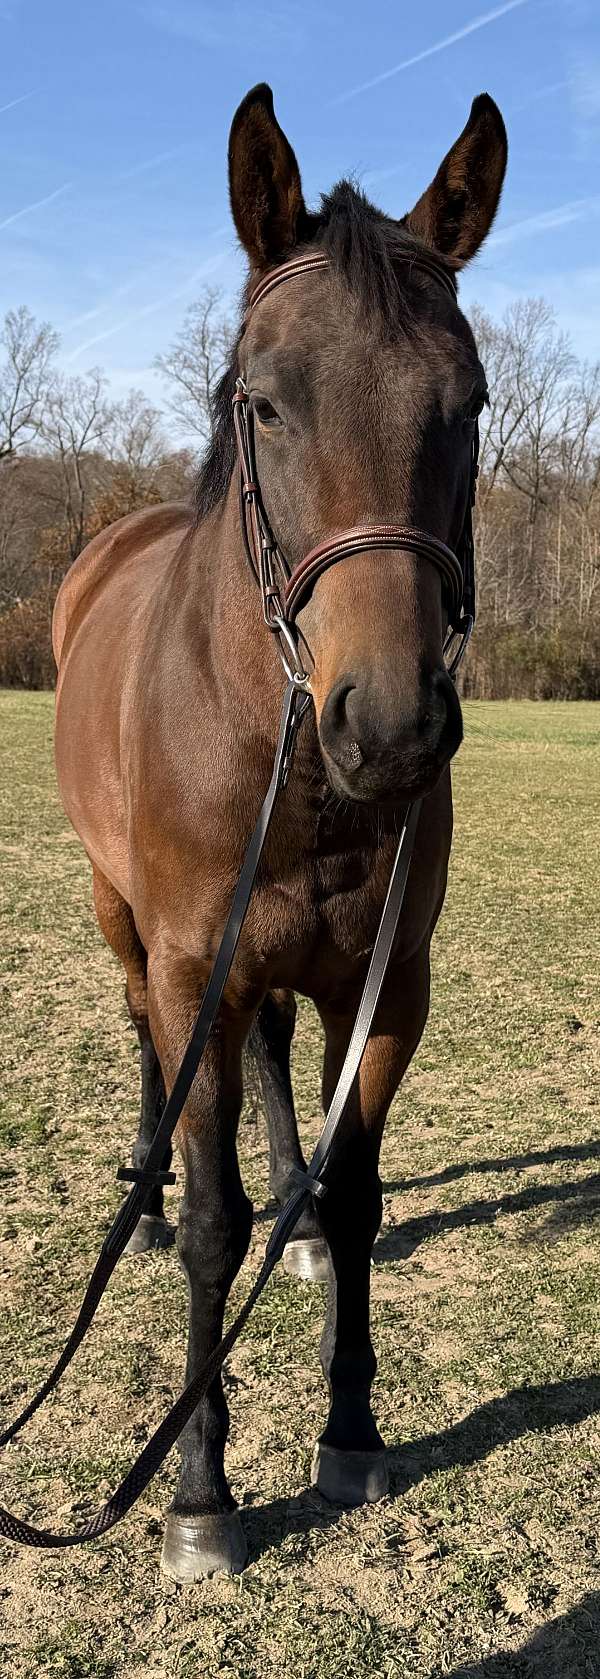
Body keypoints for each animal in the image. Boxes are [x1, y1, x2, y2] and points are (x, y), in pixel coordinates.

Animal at [52, 83, 507, 1582]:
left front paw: (353, 1424)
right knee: (149, 1040)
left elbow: (358, 1195)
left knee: (267, 1069)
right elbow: (210, 1226)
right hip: (123, 918)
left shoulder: (386, 983)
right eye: (262, 400)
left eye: (469, 404)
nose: (393, 726)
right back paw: (141, 1187)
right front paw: (200, 1489)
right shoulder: (198, 962)